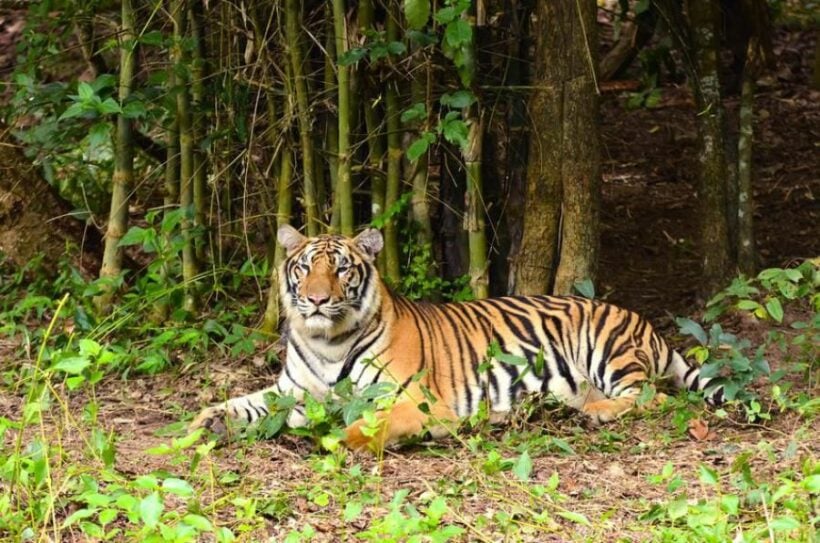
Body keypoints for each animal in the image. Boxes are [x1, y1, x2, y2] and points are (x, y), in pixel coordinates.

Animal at [189, 225, 720, 450]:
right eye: (305, 268)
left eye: (340, 269)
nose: (317, 300)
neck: (327, 341)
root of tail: (644, 322)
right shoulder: (292, 390)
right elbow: (245, 403)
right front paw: (205, 420)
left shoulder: (417, 401)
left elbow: (372, 424)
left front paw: (342, 439)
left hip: (608, 349)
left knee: (654, 397)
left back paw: (597, 412)